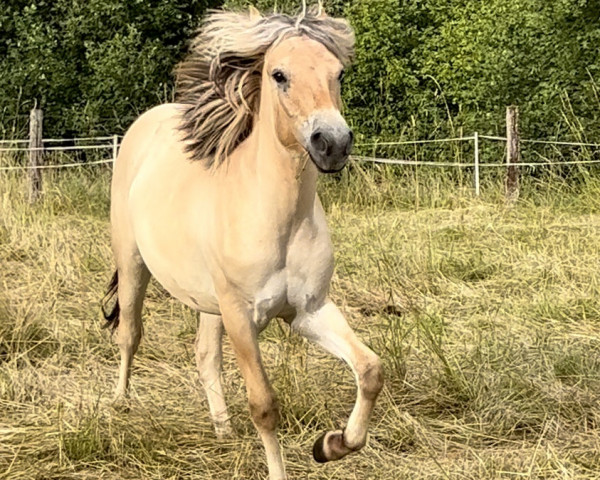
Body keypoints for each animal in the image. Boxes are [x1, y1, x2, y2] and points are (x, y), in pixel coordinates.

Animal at [102, 8, 384, 480]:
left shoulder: (309, 310)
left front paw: (330, 445)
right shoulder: (241, 318)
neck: (277, 219)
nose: (332, 143)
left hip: (208, 302)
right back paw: (120, 404)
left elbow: (370, 370)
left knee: (204, 356)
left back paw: (223, 430)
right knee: (130, 333)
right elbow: (264, 405)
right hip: (132, 262)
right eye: (278, 74)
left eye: (339, 72)